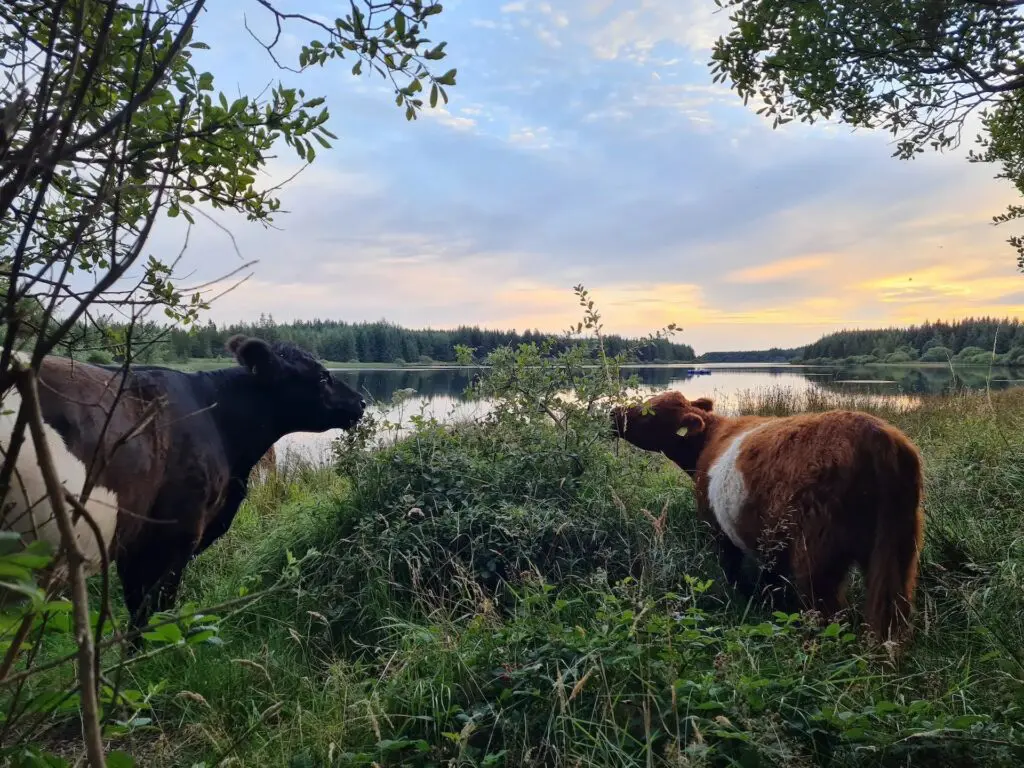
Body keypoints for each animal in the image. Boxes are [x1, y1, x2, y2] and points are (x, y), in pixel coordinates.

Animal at [610, 390, 925, 645]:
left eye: (649, 413)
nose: (613, 413)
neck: (709, 441)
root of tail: (876, 435)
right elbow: (771, 579)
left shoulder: (717, 528)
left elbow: (732, 569)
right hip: (898, 549)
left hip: (817, 553)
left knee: (828, 610)